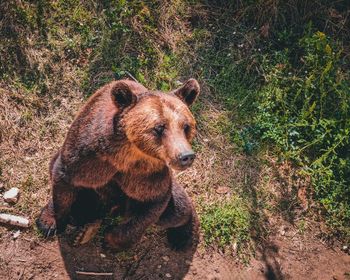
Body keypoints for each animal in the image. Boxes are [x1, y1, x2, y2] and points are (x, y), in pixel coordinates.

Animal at [37, 77, 201, 250]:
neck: (128, 154)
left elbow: (152, 203)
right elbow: (65, 180)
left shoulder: (147, 173)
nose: (186, 156)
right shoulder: (90, 156)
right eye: (159, 127)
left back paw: (182, 237)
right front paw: (50, 223)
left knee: (177, 210)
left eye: (186, 126)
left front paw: (111, 241)